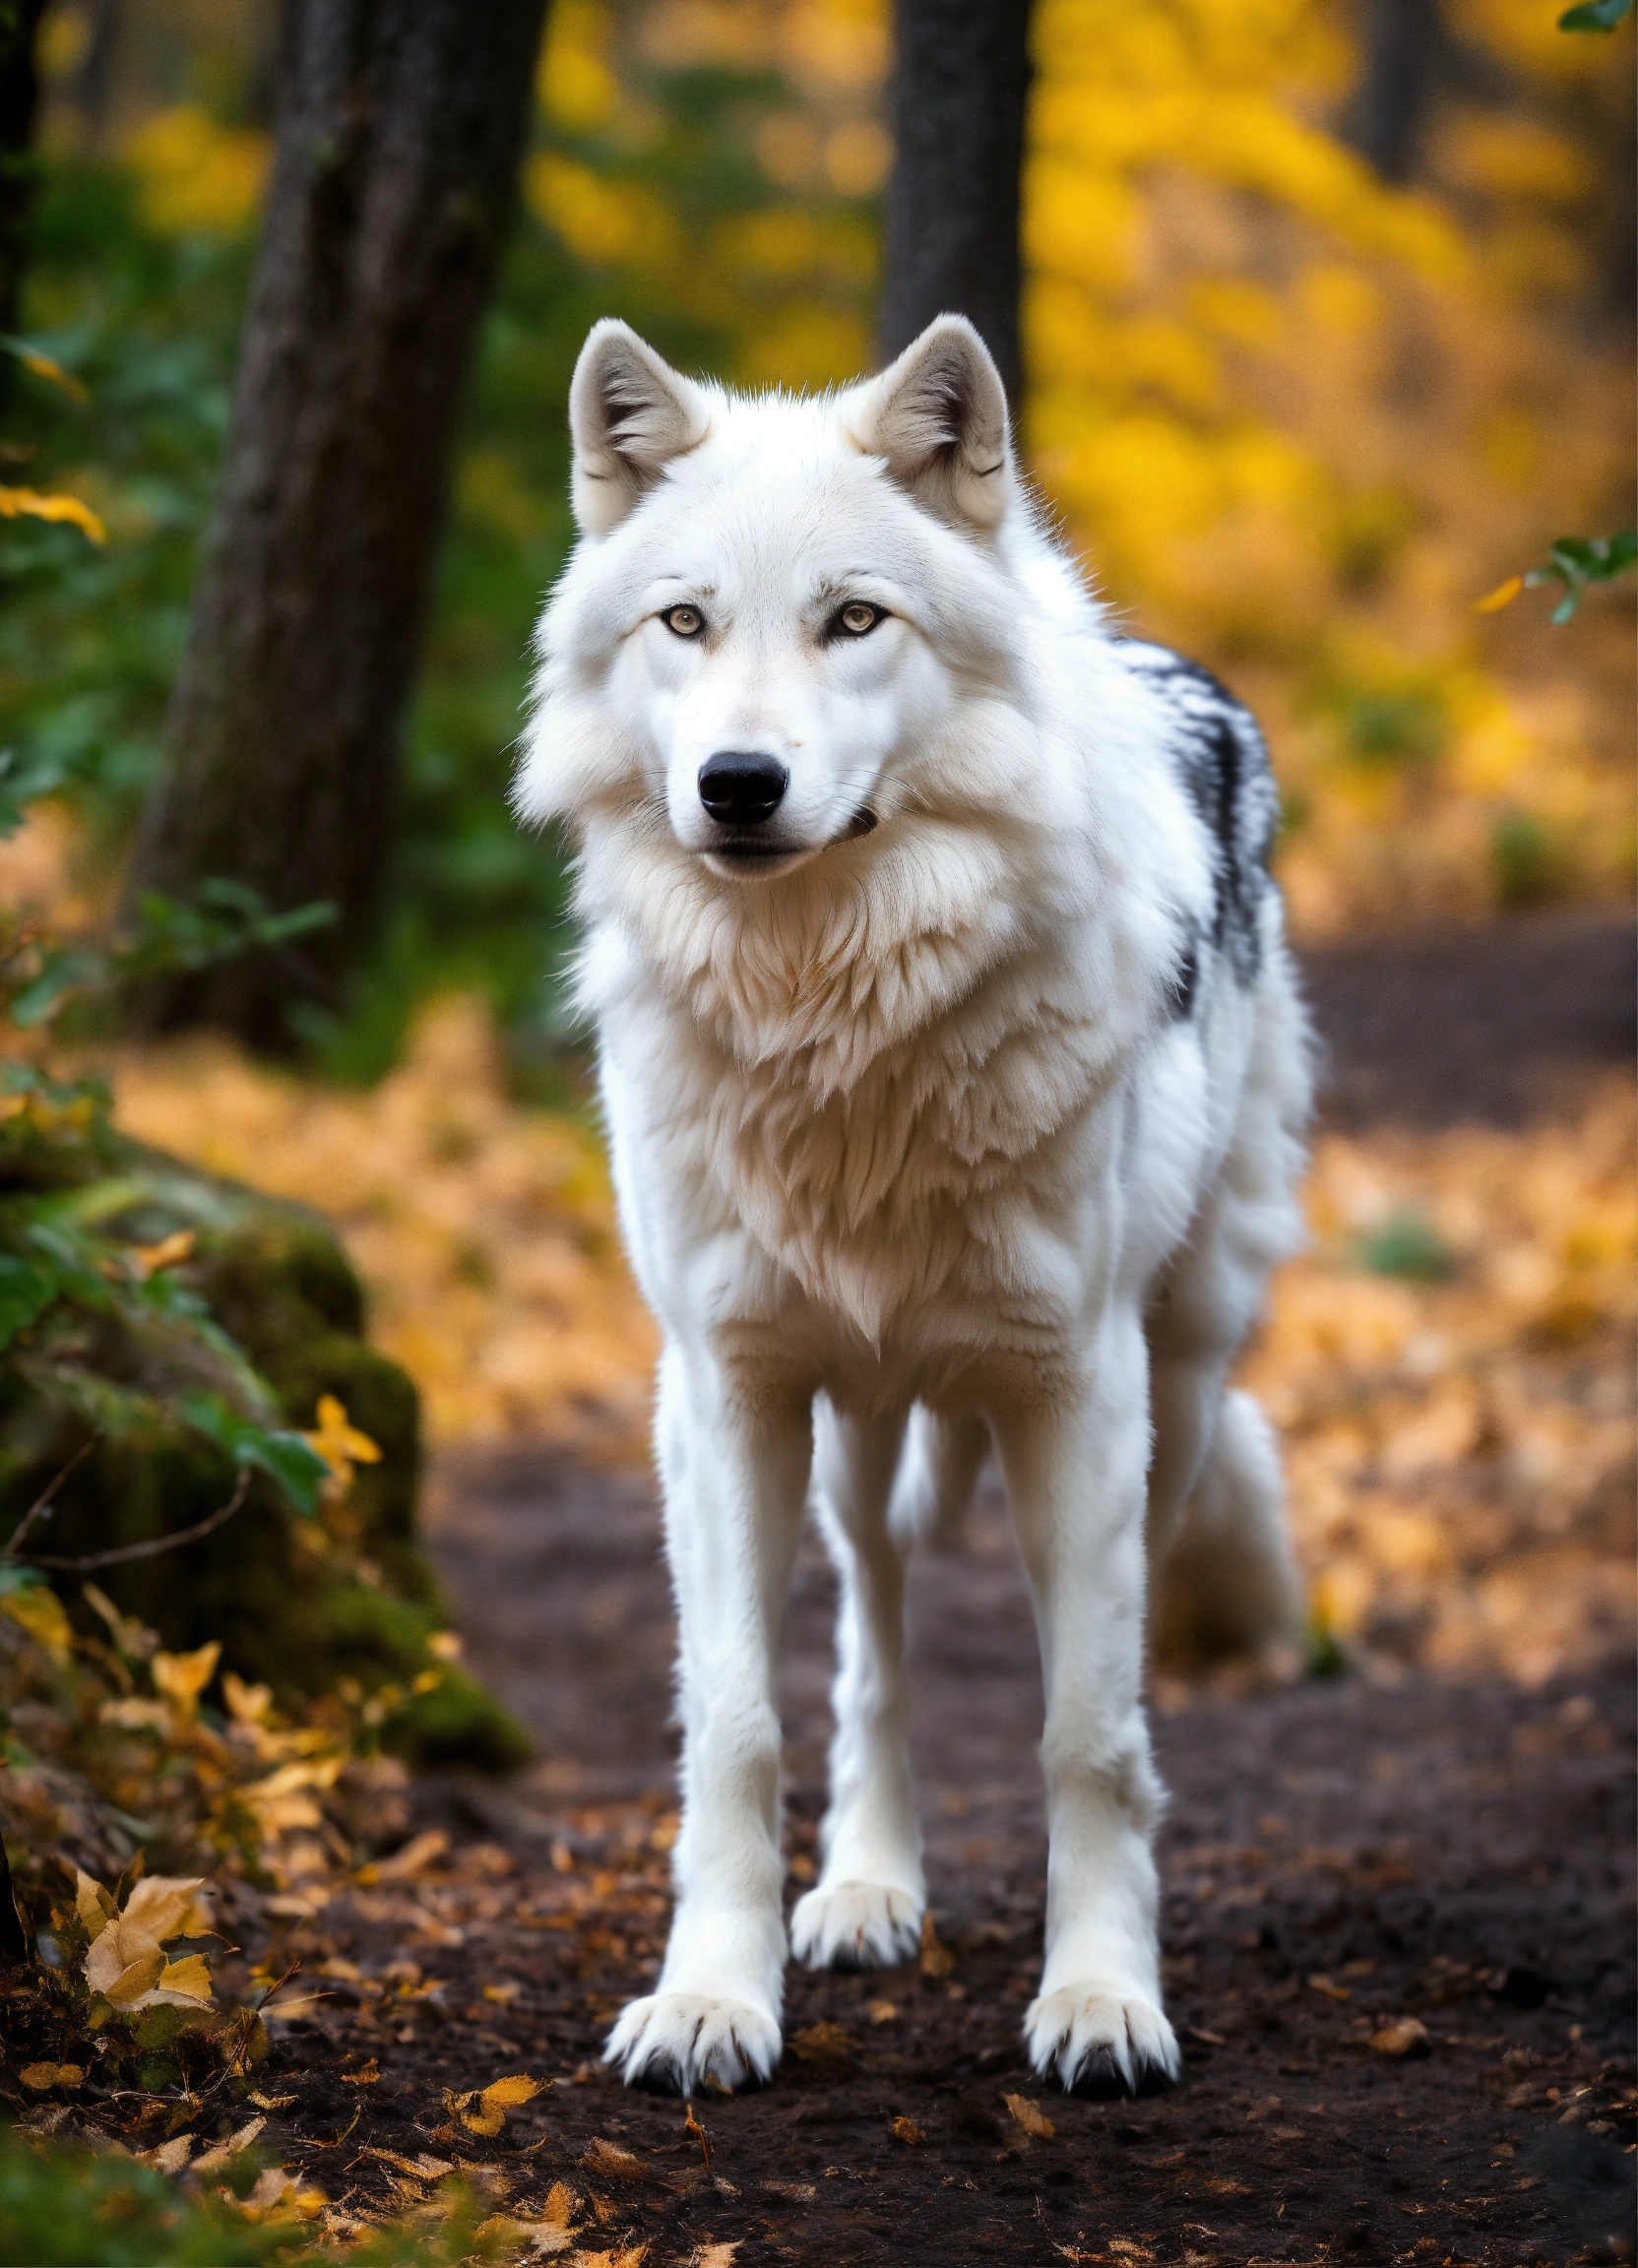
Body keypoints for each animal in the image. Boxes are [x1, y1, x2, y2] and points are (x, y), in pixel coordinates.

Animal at [514, 313, 1311, 2098]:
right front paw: (710, 1999)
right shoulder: (720, 1392)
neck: (834, 1028)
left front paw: (1101, 1998)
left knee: (1095, 1654)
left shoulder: (1080, 1390)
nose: (738, 783)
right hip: (850, 1439)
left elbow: (1086, 1729)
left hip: (1173, 1388)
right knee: (870, 1642)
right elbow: (738, 1726)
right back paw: (869, 1888)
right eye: (685, 621)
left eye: (853, 618)